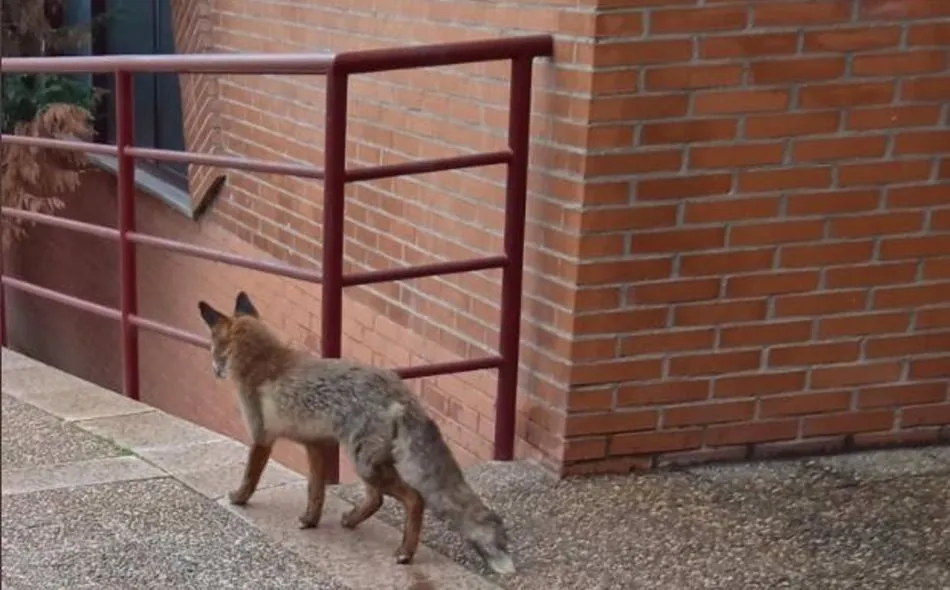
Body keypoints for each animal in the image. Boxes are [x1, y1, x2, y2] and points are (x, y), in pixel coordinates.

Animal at [197, 291, 516, 575]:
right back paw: (353, 521)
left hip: (364, 463)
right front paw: (310, 520)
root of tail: (398, 390)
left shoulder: (261, 436)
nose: (214, 370)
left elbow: (250, 475)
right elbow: (316, 491)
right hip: (371, 462)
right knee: (377, 499)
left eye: (213, 347)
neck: (264, 362)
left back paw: (405, 552)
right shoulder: (315, 445)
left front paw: (239, 499)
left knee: (413, 498)